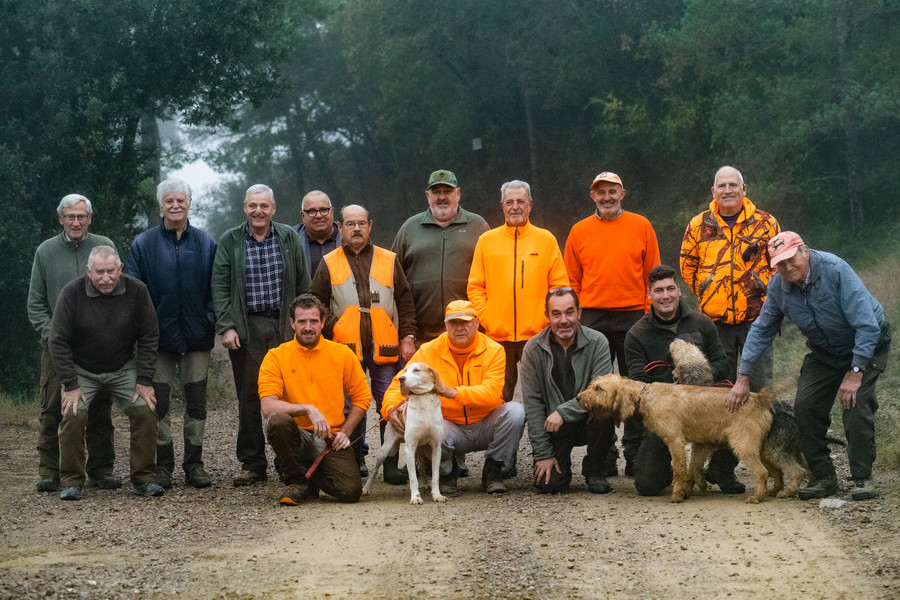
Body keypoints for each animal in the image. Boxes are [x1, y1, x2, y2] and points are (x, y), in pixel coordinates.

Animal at [362, 364, 450, 504]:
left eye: (417, 370)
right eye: (405, 370)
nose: (401, 378)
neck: (423, 400)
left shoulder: (436, 448)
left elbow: (435, 476)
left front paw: (437, 495)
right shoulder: (410, 448)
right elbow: (413, 477)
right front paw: (415, 497)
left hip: (420, 449)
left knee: (421, 467)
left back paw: (426, 484)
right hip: (385, 449)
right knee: (375, 470)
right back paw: (366, 488)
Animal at [584, 372, 772, 504]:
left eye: (598, 388)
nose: (579, 397)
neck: (646, 395)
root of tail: (758, 399)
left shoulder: (675, 441)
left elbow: (680, 470)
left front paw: (677, 495)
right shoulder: (700, 444)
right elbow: (691, 469)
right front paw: (692, 488)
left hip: (742, 444)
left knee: (762, 472)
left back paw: (758, 497)